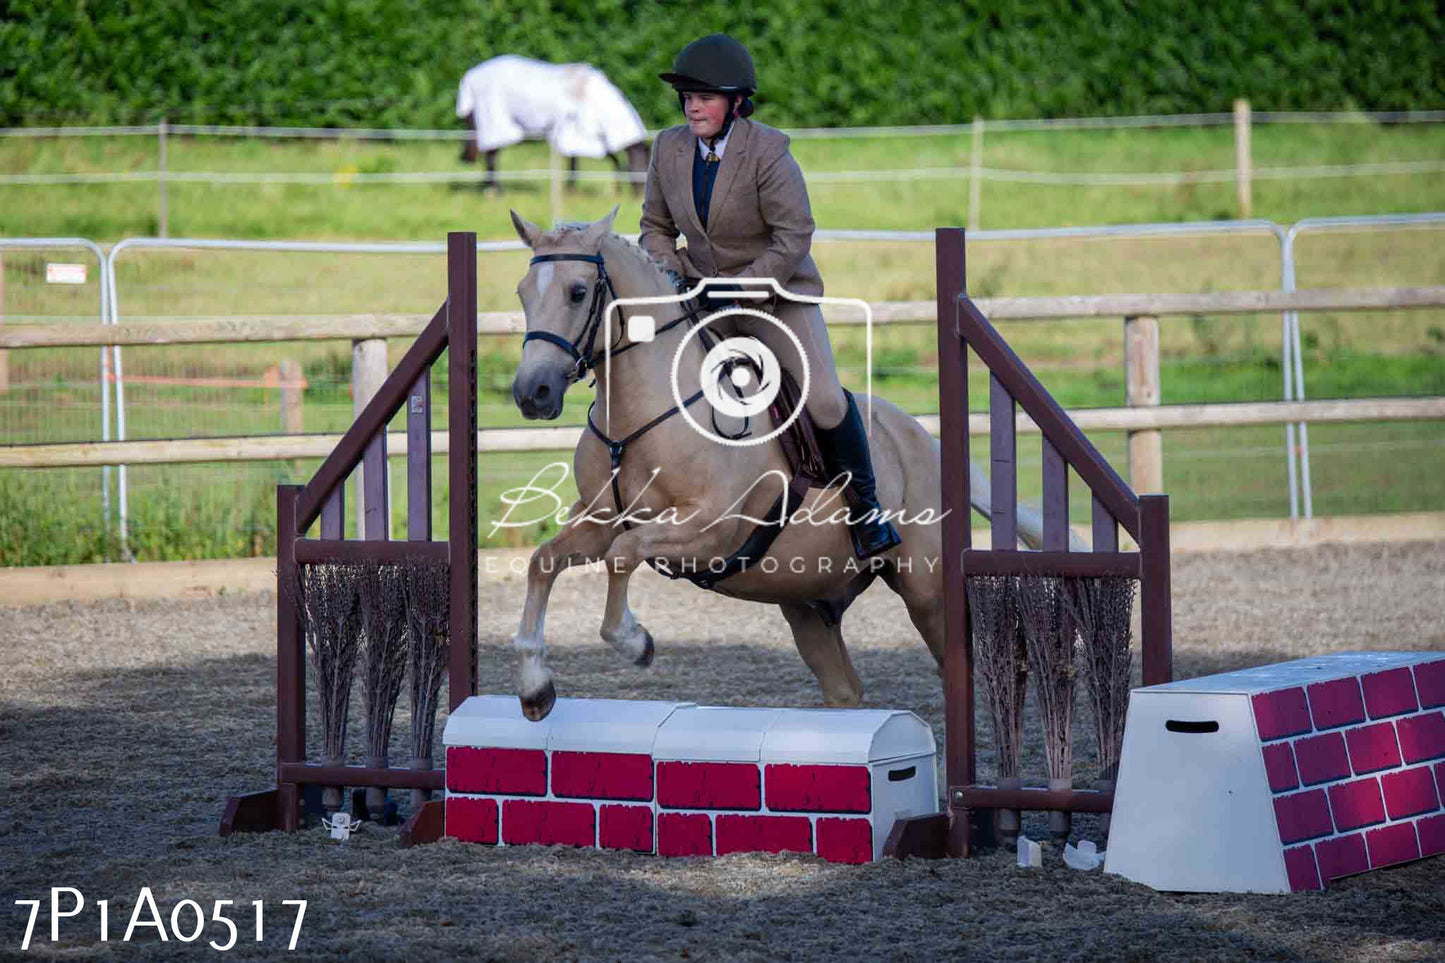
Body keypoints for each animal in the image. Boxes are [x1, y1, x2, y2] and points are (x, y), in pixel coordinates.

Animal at [502, 209, 1046, 720]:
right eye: (522, 293)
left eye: (577, 292)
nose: (532, 393)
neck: (638, 416)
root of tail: (924, 440)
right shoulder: (601, 521)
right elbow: (545, 561)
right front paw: (534, 687)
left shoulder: (709, 528)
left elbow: (623, 554)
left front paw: (635, 642)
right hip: (805, 601)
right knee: (845, 690)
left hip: (926, 590)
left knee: (952, 663)